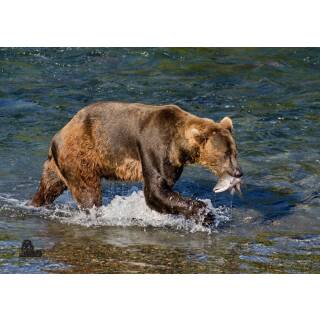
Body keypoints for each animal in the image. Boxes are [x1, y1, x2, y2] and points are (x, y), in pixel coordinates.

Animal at [31, 102, 242, 222]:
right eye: (225, 154)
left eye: (235, 152)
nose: (238, 172)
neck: (179, 145)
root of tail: (58, 134)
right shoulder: (154, 146)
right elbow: (155, 191)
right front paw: (206, 214)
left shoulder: (174, 162)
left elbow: (165, 188)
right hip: (80, 155)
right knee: (87, 192)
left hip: (58, 163)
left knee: (49, 186)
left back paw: (36, 204)